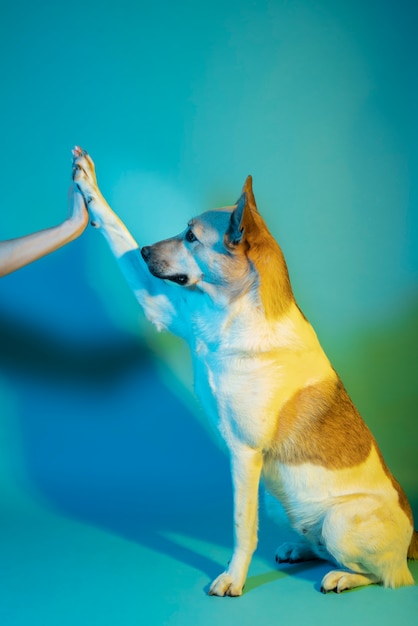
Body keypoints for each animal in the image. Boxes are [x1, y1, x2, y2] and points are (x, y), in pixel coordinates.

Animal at [72, 146, 418, 596]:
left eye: (191, 236)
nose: (146, 251)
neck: (230, 314)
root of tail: (412, 537)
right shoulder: (162, 306)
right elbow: (118, 234)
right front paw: (87, 182)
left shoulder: (245, 453)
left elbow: (242, 527)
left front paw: (232, 579)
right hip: (282, 503)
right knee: (322, 546)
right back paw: (299, 549)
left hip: (340, 522)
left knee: (387, 574)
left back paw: (342, 576)